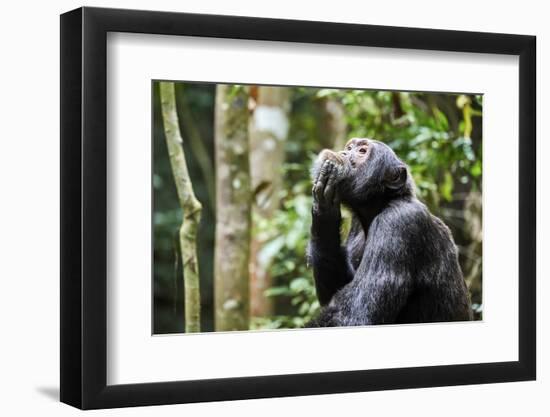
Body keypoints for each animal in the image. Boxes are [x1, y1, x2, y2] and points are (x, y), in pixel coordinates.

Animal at [308, 138, 472, 326]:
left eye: (362, 151)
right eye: (349, 147)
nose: (344, 152)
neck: (380, 204)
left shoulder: (398, 223)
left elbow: (356, 314)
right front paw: (323, 209)